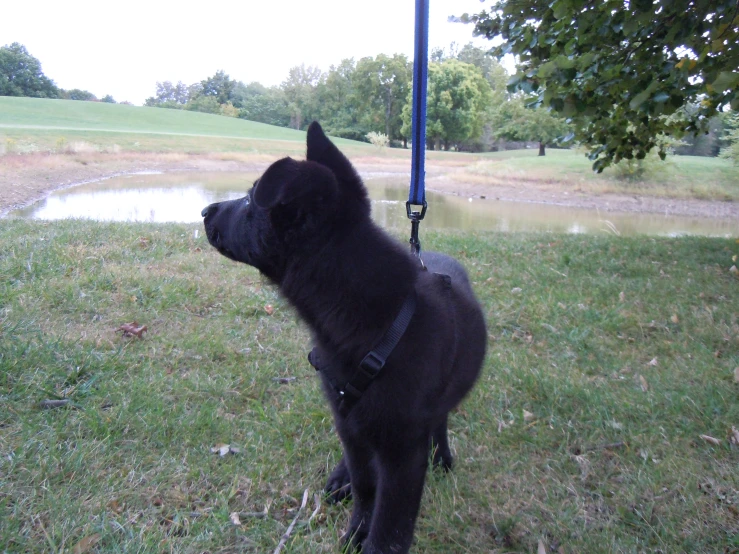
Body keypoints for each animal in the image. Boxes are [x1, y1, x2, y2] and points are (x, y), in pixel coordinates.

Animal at [202, 122, 488, 552]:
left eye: (252, 199)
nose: (205, 211)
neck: (372, 325)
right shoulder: (348, 420)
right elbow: (367, 486)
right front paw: (355, 530)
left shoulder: (404, 450)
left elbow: (392, 523)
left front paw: (372, 541)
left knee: (439, 421)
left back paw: (443, 456)